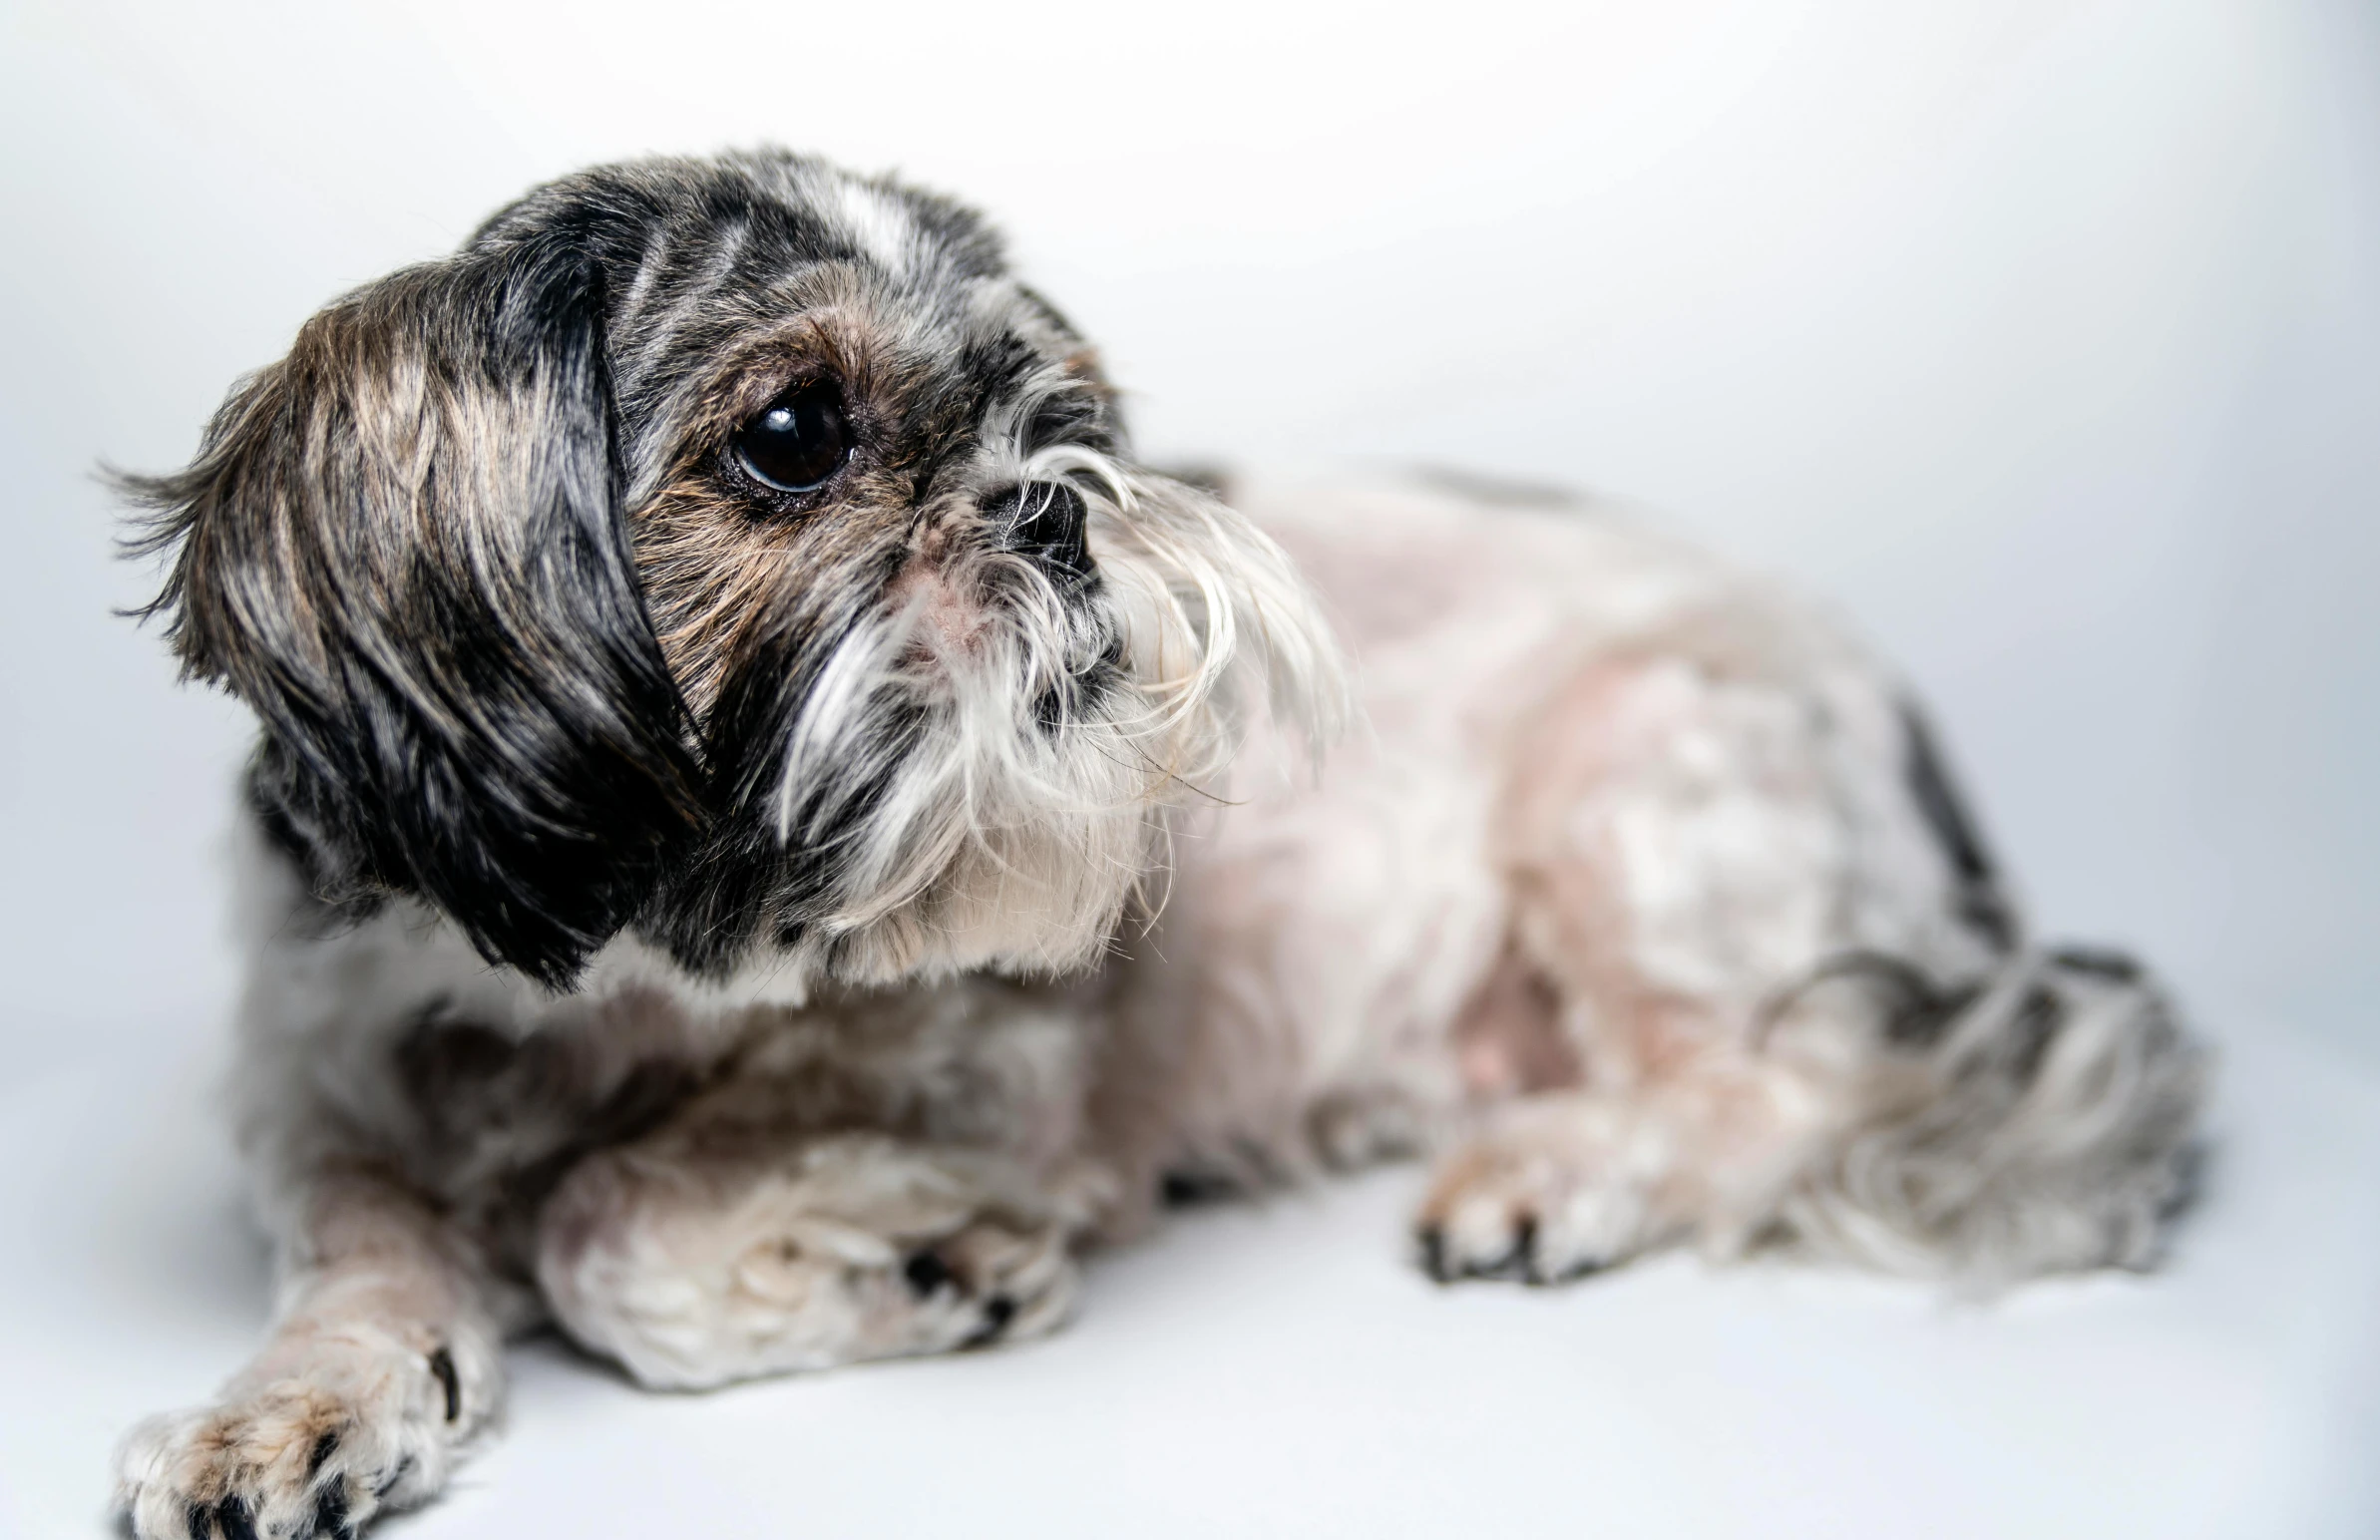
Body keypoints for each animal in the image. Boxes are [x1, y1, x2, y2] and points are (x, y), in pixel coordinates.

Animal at [107, 153, 2189, 1540]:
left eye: (1069, 416)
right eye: (789, 432)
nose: (1054, 500)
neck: (630, 981)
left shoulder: (988, 1062)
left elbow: (612, 1217)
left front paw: (929, 1262)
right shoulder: (316, 1089)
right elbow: (365, 1256)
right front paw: (291, 1405)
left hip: (1644, 771)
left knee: (1779, 1083)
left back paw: (1554, 1173)